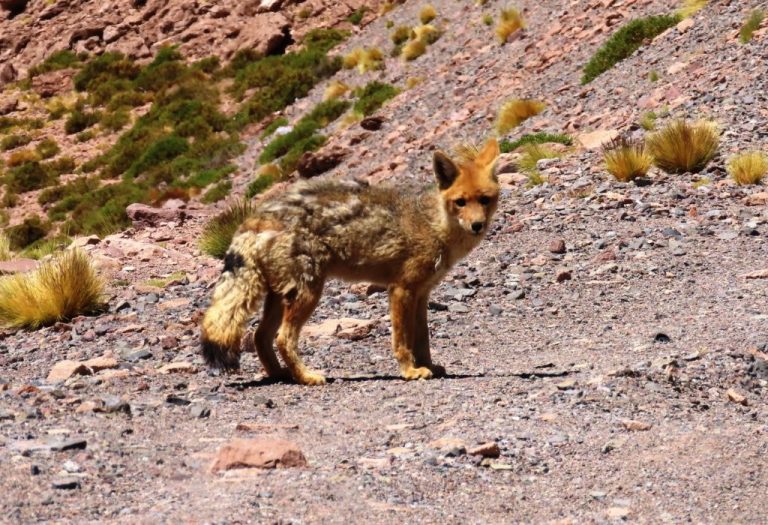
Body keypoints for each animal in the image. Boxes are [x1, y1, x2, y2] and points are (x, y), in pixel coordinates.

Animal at [200, 138, 500, 385]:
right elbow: (402, 339)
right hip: (307, 293)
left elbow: (422, 338)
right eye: (460, 202)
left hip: (280, 297)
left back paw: (282, 375)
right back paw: (307, 377)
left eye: (485, 200)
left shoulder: (421, 294)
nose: (477, 225)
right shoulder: (401, 290)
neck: (432, 223)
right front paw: (409, 371)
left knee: (260, 337)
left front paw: (428, 366)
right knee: (283, 339)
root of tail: (256, 217)